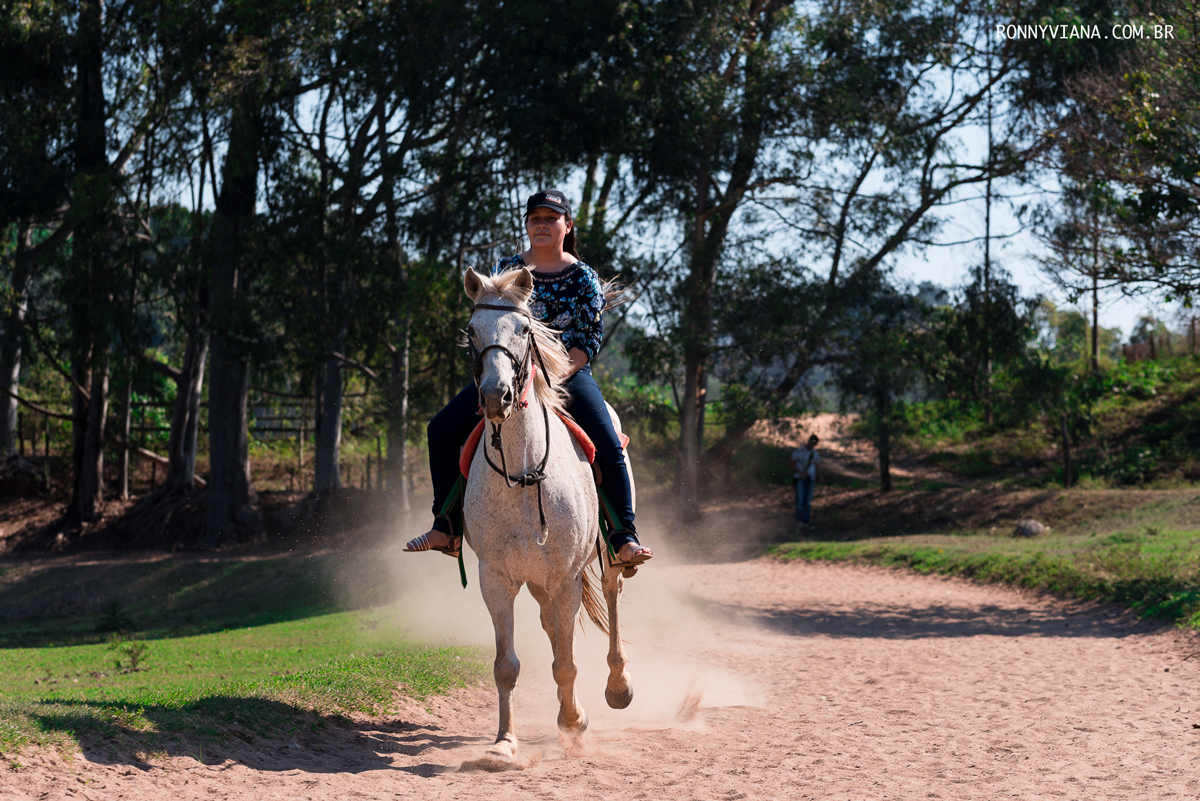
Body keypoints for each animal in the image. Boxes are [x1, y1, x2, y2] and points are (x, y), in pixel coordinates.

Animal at [460, 265, 633, 766]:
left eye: (523, 328)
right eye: (472, 331)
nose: (495, 396)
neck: (522, 472)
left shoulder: (566, 579)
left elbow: (567, 661)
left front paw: (574, 722)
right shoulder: (496, 579)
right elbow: (507, 665)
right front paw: (503, 743)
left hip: (605, 559)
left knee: (611, 597)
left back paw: (618, 686)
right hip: (537, 582)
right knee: (551, 628)